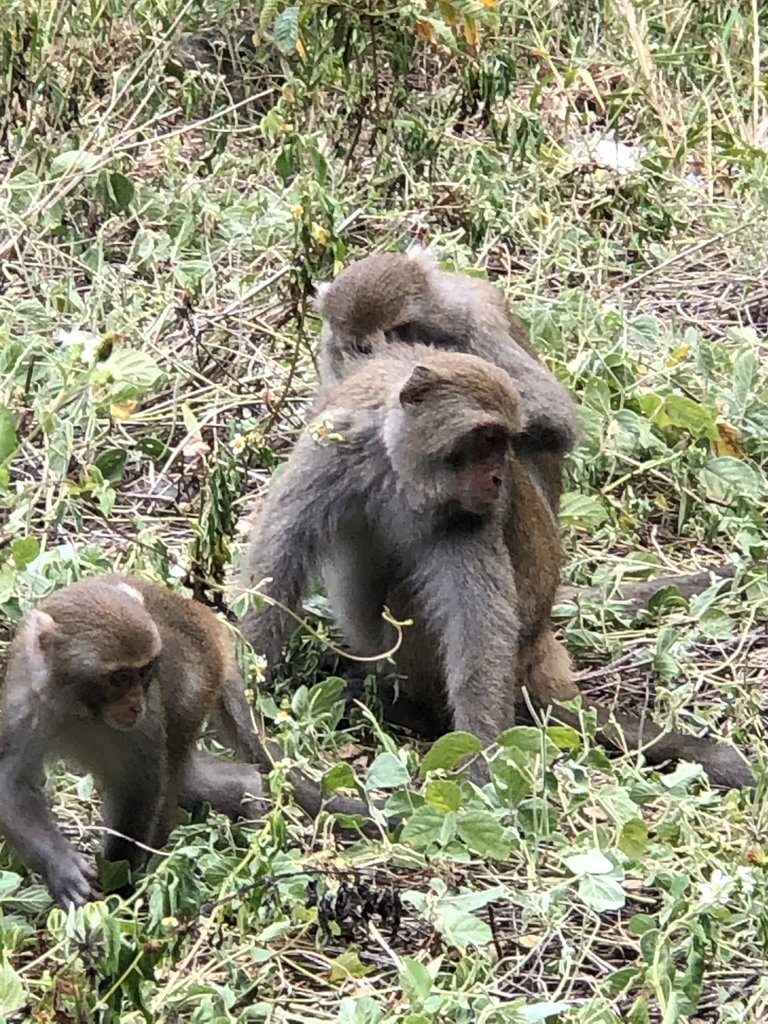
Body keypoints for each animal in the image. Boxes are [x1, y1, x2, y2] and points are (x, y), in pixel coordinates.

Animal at [0, 577, 376, 905]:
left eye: (143, 672)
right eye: (119, 678)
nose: (135, 703)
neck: (80, 709)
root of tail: (210, 624)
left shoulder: (147, 718)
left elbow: (140, 790)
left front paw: (120, 885)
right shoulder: (23, 703)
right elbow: (10, 786)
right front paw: (61, 868)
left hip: (196, 684)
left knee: (173, 771)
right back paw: (247, 786)